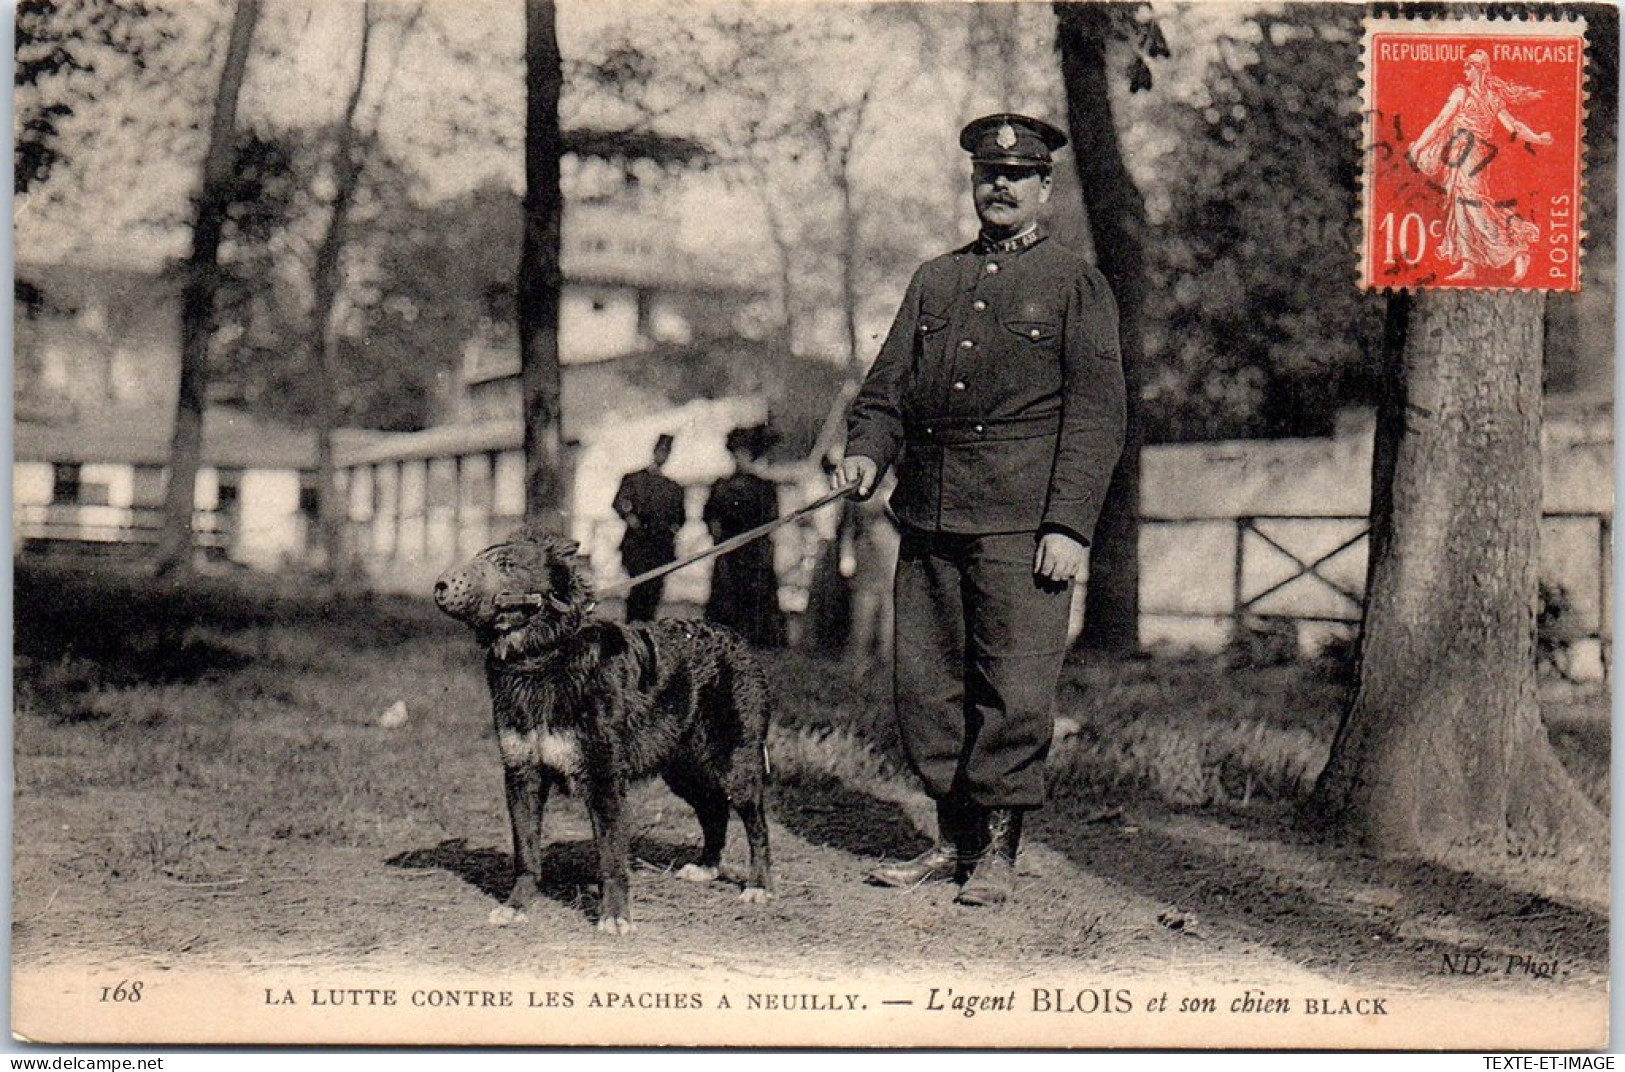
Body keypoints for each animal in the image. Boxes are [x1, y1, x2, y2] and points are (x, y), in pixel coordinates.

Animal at [432, 526, 773, 929]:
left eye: (506, 565)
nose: (441, 585)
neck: (541, 656)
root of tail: (736, 639)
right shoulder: (521, 775)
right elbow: (526, 853)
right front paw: (517, 905)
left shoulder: (604, 777)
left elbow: (610, 856)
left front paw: (614, 916)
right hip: (684, 768)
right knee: (714, 811)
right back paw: (706, 867)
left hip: (736, 764)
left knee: (756, 825)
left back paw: (758, 885)